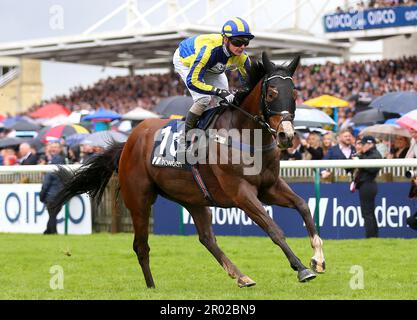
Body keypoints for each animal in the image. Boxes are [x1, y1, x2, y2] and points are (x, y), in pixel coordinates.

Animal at [50, 52, 324, 288]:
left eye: (295, 93)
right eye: (272, 93)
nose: (286, 136)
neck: (246, 136)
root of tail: (128, 141)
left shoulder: (270, 186)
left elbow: (303, 206)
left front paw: (318, 259)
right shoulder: (241, 193)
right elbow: (273, 229)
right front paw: (301, 268)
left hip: (193, 198)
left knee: (206, 238)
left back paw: (241, 276)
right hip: (138, 199)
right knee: (141, 245)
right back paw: (151, 286)